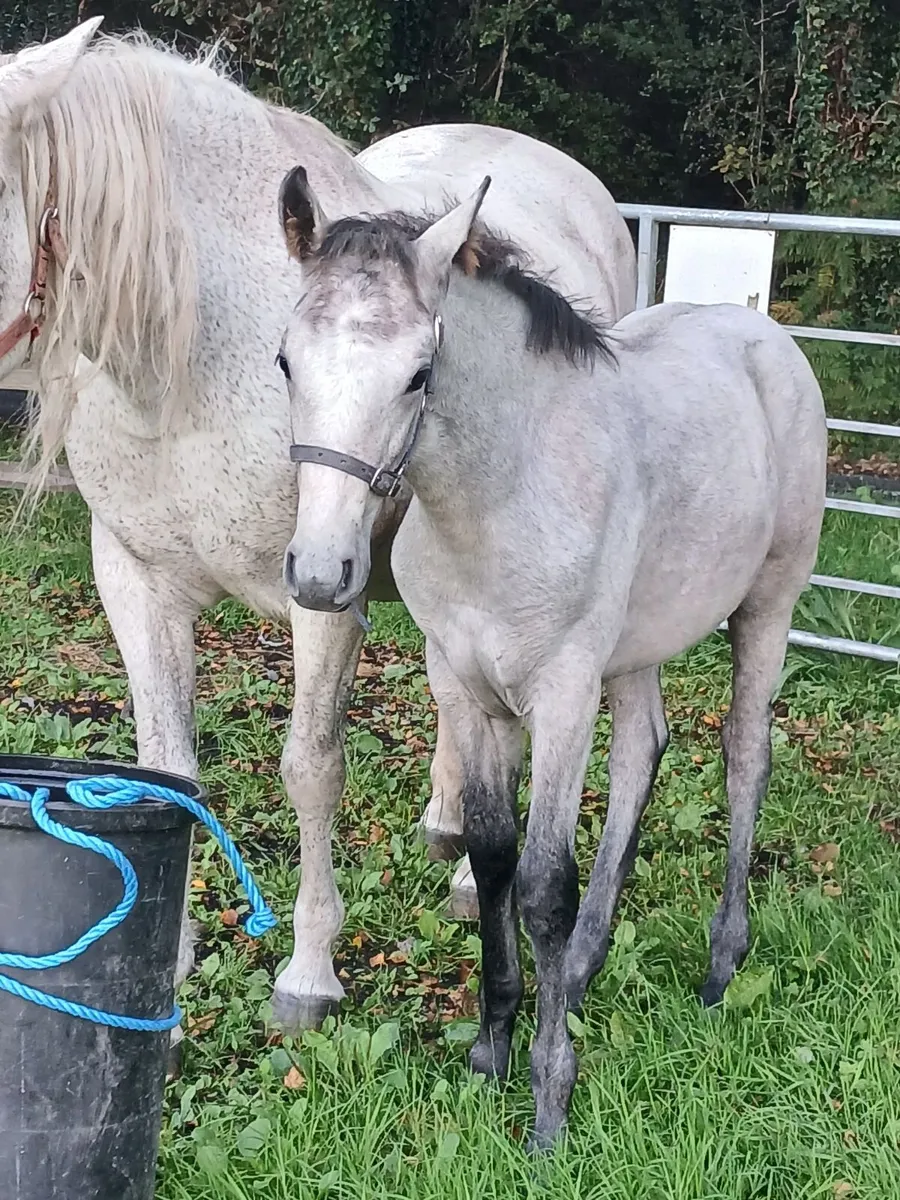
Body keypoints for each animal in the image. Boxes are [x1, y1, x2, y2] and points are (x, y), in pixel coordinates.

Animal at [0, 20, 636, 1035]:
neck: (189, 357)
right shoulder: (134, 578)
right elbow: (165, 766)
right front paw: (166, 955)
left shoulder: (320, 598)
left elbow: (311, 768)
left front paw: (308, 972)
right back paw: (446, 826)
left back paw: (469, 879)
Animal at [276, 175, 827, 1146]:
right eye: (285, 364)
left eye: (418, 375)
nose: (318, 571)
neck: (502, 499)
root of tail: (765, 337)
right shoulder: (463, 688)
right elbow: (492, 857)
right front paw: (493, 1044)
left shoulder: (562, 694)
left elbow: (539, 886)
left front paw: (548, 1101)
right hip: (640, 643)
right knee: (644, 746)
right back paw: (581, 969)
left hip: (767, 608)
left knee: (745, 758)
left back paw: (720, 965)